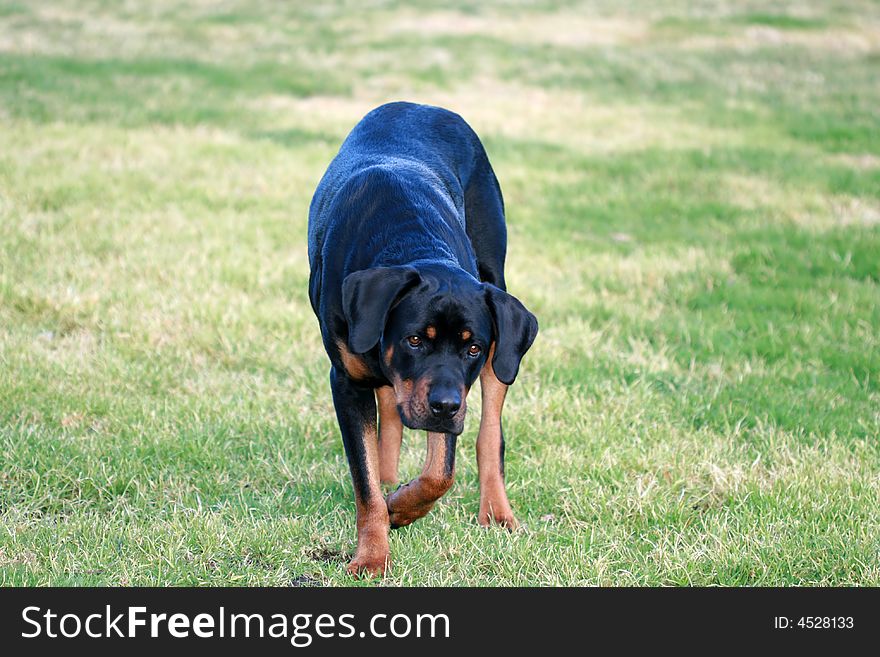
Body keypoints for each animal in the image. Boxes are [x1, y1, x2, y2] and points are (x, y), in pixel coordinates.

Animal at [310, 101, 536, 576]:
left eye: (471, 348)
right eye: (414, 340)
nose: (446, 406)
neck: (409, 242)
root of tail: (423, 106)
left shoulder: (456, 387)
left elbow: (439, 474)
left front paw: (401, 508)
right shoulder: (347, 381)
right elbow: (365, 479)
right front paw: (372, 555)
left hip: (498, 301)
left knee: (489, 433)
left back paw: (496, 511)